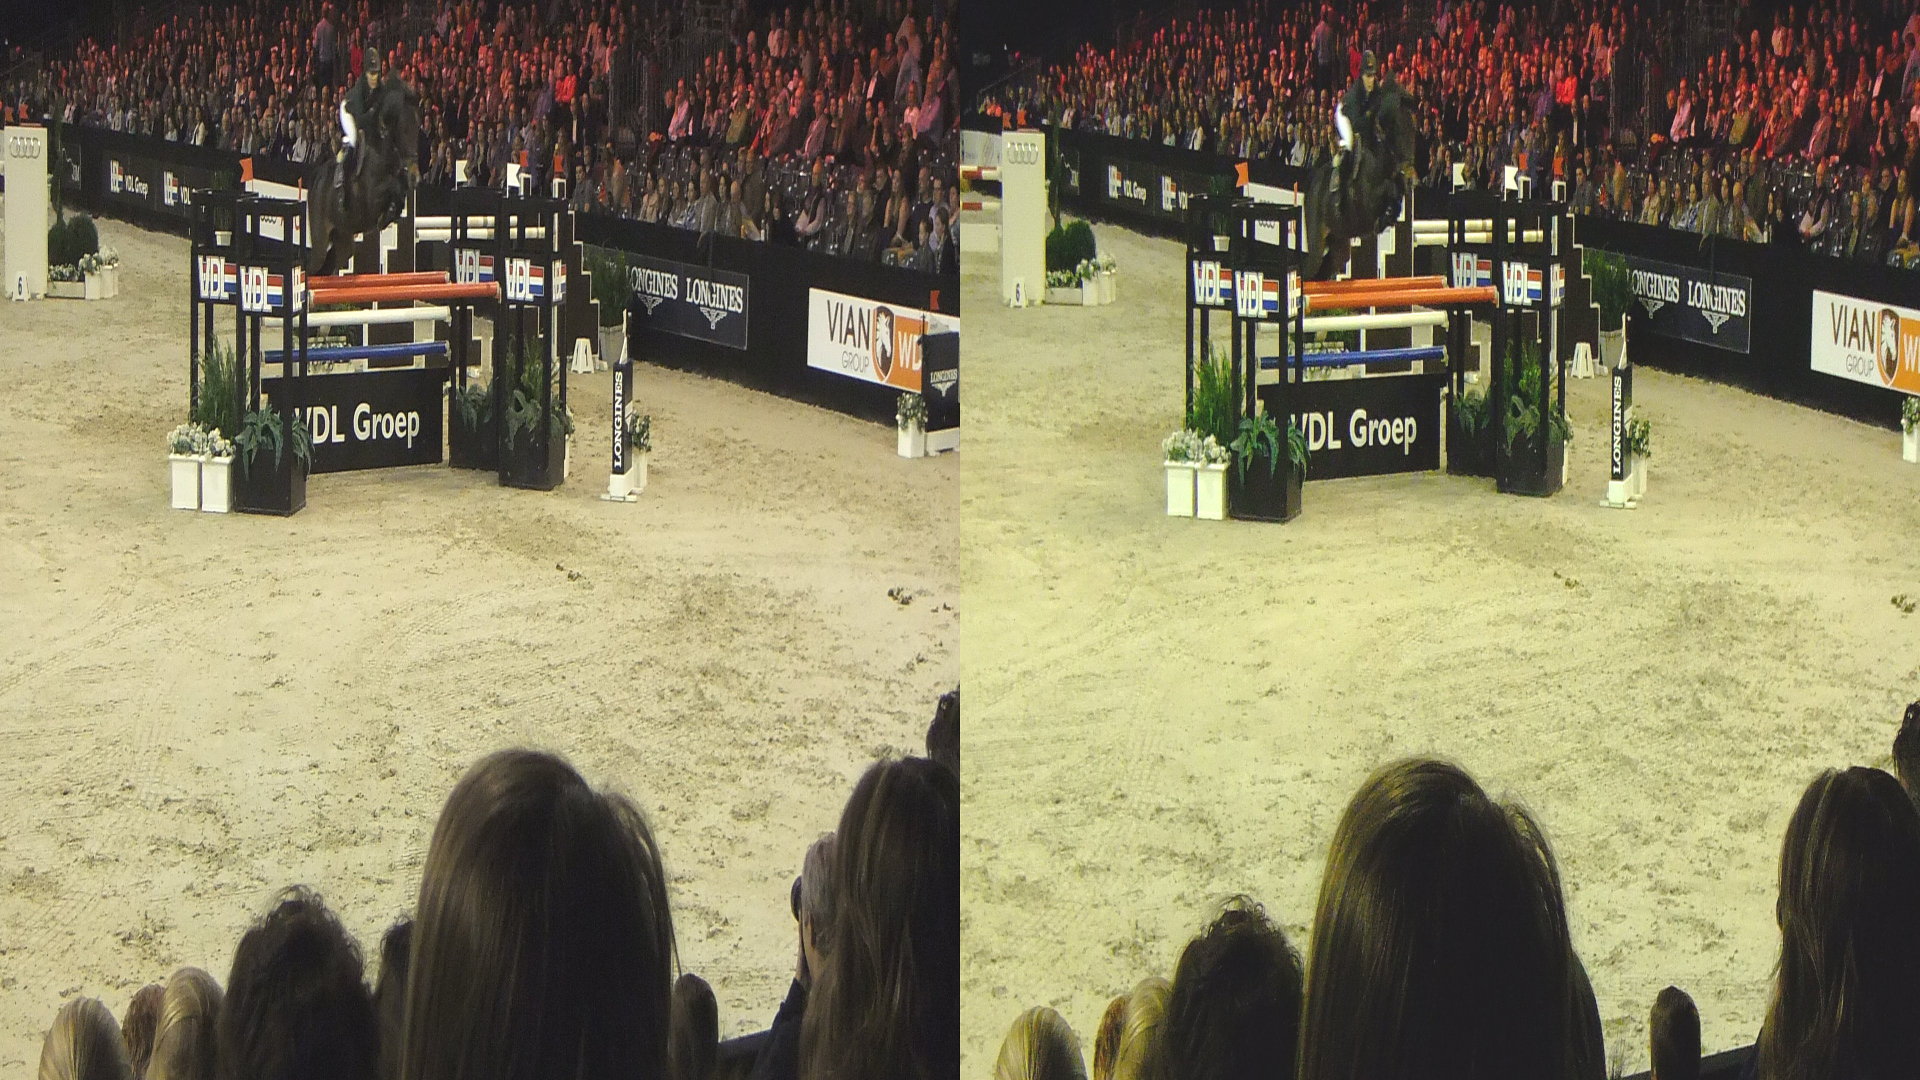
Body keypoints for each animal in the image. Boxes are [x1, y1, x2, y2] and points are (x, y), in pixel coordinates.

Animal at [305, 76, 421, 276]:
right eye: (405, 130)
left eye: (418, 128)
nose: (415, 177)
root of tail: (314, 185)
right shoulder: (371, 198)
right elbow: (390, 190)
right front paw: (386, 215)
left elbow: (399, 193)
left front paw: (391, 214)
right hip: (320, 239)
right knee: (313, 267)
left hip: (343, 239)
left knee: (332, 262)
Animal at [1302, 84, 1416, 281]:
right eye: (1398, 128)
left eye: (1413, 128)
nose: (1411, 175)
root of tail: (1310, 190)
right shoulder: (1368, 201)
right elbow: (1389, 189)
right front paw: (1385, 217)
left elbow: (1397, 190)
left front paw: (1391, 214)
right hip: (1317, 243)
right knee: (1309, 271)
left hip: (1339, 245)